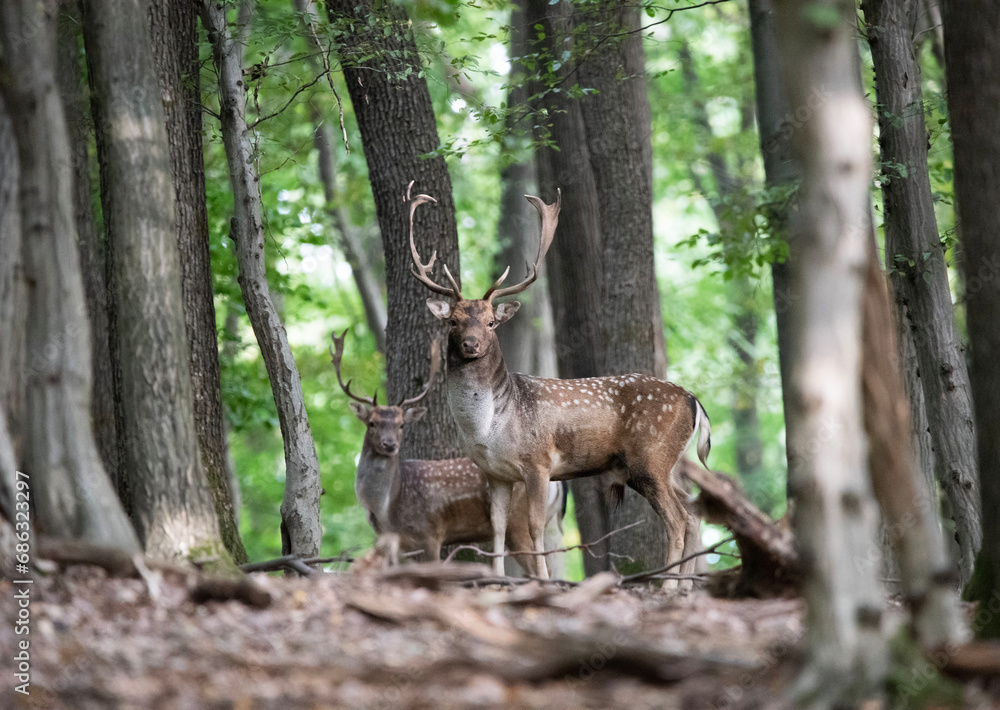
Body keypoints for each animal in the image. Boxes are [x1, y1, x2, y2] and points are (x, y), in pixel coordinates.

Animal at [328, 330, 564, 576]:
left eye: (401, 425)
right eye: (372, 423)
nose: (390, 444)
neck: (387, 506)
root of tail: (558, 484)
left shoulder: (430, 532)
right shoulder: (398, 544)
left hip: (518, 525)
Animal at [408, 182, 712, 580]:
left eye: (491, 322)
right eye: (454, 321)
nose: (471, 345)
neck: (489, 426)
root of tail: (695, 400)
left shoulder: (539, 462)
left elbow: (535, 528)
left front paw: (543, 580)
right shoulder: (495, 473)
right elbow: (498, 529)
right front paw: (499, 581)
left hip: (651, 459)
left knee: (677, 520)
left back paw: (668, 585)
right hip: (671, 464)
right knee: (692, 514)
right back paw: (686, 582)